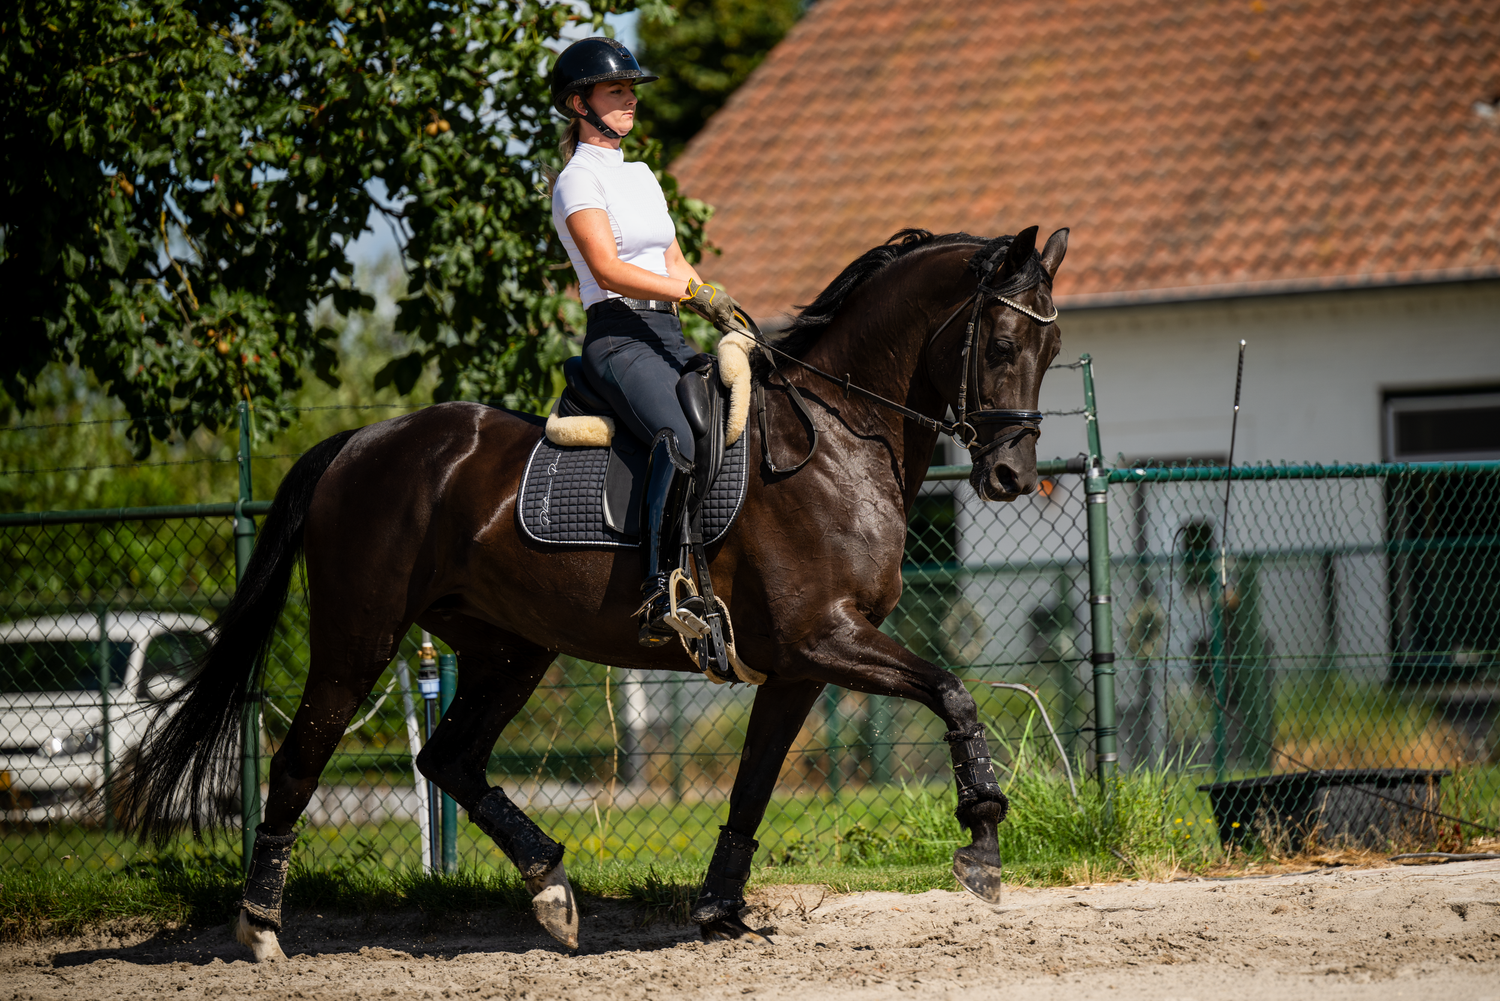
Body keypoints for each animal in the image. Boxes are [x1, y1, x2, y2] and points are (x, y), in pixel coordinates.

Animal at [117, 224, 1068, 959]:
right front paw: (983, 840)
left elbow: (754, 781)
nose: (1012, 475)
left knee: (448, 758)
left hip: (511, 647)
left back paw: (552, 890)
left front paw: (718, 909)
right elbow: (952, 691)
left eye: (1054, 353)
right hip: (362, 637)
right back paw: (261, 924)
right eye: (1003, 346)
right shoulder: (823, 637)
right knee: (301, 758)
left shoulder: (799, 664)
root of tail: (358, 443)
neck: (836, 435)